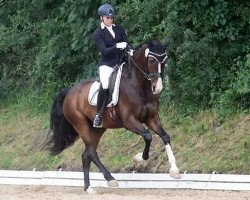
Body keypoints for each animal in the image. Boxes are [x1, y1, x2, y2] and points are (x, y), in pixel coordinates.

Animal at [46, 39, 180, 194]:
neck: (139, 86)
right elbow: (148, 136)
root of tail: (69, 92)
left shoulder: (151, 118)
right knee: (91, 152)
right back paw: (110, 179)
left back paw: (89, 188)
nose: (157, 88)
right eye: (151, 60)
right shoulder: (129, 121)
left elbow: (165, 137)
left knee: (86, 154)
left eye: (165, 60)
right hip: (81, 125)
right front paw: (139, 158)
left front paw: (174, 170)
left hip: (97, 129)